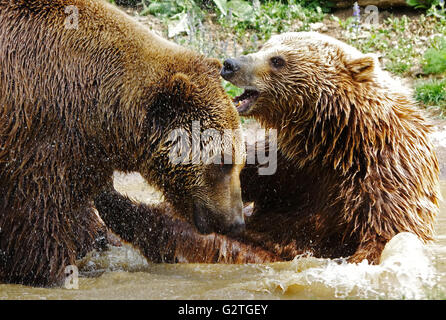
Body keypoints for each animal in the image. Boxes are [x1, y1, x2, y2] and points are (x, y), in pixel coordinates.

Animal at [0, 0, 246, 286]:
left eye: (239, 162)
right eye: (223, 163)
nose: (236, 222)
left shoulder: (81, 152)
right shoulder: (39, 136)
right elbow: (37, 219)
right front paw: (53, 271)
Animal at [96, 31, 440, 264]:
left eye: (278, 60)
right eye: (264, 46)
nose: (230, 63)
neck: (337, 140)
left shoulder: (382, 181)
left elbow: (378, 240)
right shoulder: (294, 163)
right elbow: (247, 176)